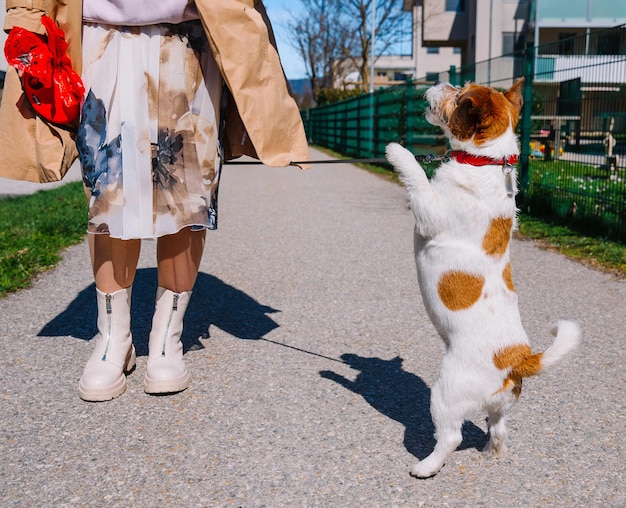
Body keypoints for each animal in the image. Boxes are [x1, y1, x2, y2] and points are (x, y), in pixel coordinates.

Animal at [386, 77, 580, 478]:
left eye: (458, 93)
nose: (441, 81)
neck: (485, 161)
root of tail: (519, 360)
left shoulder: (430, 211)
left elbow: (416, 177)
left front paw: (397, 150)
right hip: (499, 406)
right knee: (500, 428)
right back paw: (492, 453)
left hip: (446, 393)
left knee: (451, 437)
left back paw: (426, 466)